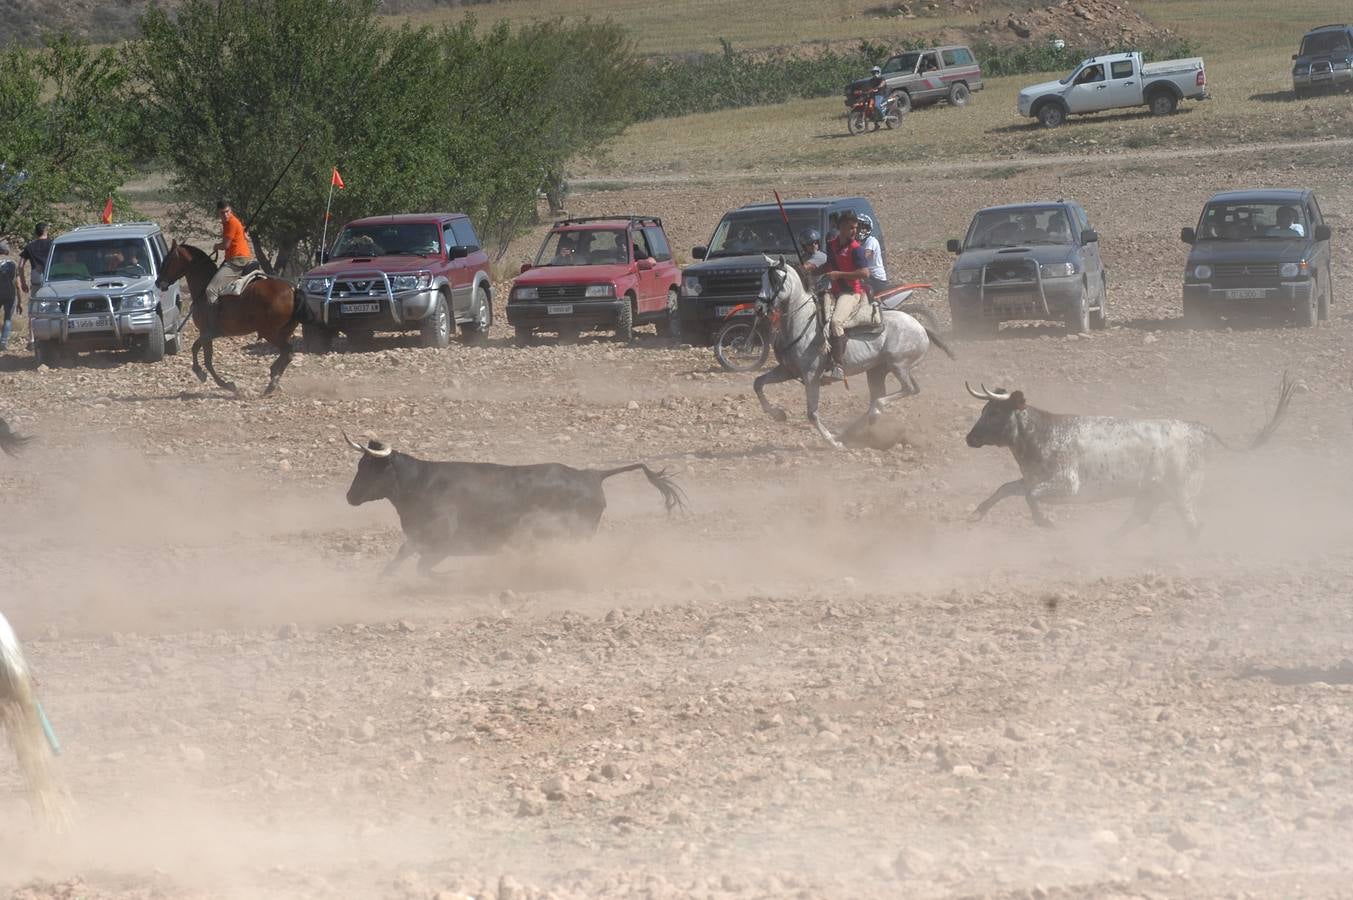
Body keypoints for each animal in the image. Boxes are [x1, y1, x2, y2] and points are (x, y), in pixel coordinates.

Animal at [155, 240, 307, 395]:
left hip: (270, 333)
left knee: (287, 351)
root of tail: (292, 290)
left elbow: (199, 352)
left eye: (168, 260)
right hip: (283, 332)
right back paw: (273, 375)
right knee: (287, 353)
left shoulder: (206, 333)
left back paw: (272, 382)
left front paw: (213, 379)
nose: (158, 282)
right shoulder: (208, 335)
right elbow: (203, 355)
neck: (203, 288)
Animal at [752, 255, 952, 446]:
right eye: (762, 278)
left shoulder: (811, 377)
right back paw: (853, 429)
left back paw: (871, 416)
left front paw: (832, 443)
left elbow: (812, 413)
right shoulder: (786, 370)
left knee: (905, 390)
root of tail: (921, 326)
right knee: (898, 392)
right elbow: (758, 383)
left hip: (898, 365)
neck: (802, 323)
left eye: (776, 279)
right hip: (878, 371)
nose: (759, 308)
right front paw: (778, 414)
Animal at [968, 370, 1293, 533]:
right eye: (984, 409)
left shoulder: (1067, 484)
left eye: (995, 412)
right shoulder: (1032, 478)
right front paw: (977, 513)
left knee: (1193, 525)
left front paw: (1045, 522)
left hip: (1182, 492)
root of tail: (1195, 428)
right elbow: (1007, 489)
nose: (969, 438)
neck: (1042, 434)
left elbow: (1029, 496)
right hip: (1153, 493)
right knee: (1136, 520)